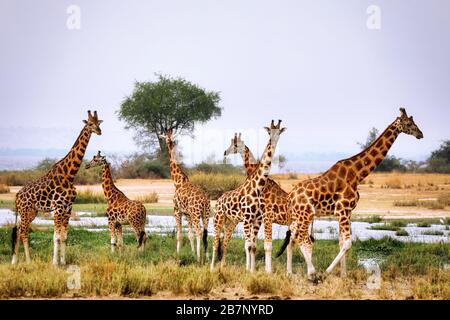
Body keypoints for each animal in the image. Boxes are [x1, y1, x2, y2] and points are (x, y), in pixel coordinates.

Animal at [11, 110, 103, 264]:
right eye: (90, 124)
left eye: (98, 123)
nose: (99, 131)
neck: (69, 175)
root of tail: (17, 195)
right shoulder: (58, 208)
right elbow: (56, 237)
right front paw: (55, 263)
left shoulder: (68, 208)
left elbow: (64, 237)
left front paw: (63, 262)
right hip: (24, 210)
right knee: (23, 232)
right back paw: (28, 261)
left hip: (32, 212)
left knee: (19, 231)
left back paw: (14, 261)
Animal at [161, 128, 210, 262]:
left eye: (166, 136)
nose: (168, 141)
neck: (178, 182)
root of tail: (205, 200)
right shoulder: (188, 214)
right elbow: (190, 235)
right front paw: (192, 253)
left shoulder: (177, 211)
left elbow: (179, 234)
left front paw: (178, 254)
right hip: (206, 214)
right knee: (205, 233)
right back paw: (207, 257)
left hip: (196, 213)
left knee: (199, 232)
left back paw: (199, 258)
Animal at [210, 120, 286, 272]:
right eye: (269, 132)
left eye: (279, 132)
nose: (225, 152)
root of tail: (218, 200)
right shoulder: (248, 219)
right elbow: (249, 246)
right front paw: (249, 270)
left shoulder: (256, 219)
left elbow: (252, 246)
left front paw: (252, 270)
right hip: (219, 220)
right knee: (216, 244)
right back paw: (212, 268)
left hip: (230, 223)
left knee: (224, 243)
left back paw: (221, 267)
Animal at [278, 107, 422, 280]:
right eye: (409, 123)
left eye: (414, 122)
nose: (420, 134)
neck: (358, 174)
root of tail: (290, 196)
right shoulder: (343, 210)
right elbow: (347, 243)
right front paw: (327, 272)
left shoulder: (348, 211)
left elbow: (342, 242)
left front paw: (343, 274)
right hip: (305, 215)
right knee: (301, 237)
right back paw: (312, 273)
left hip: (299, 215)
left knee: (293, 236)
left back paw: (290, 272)